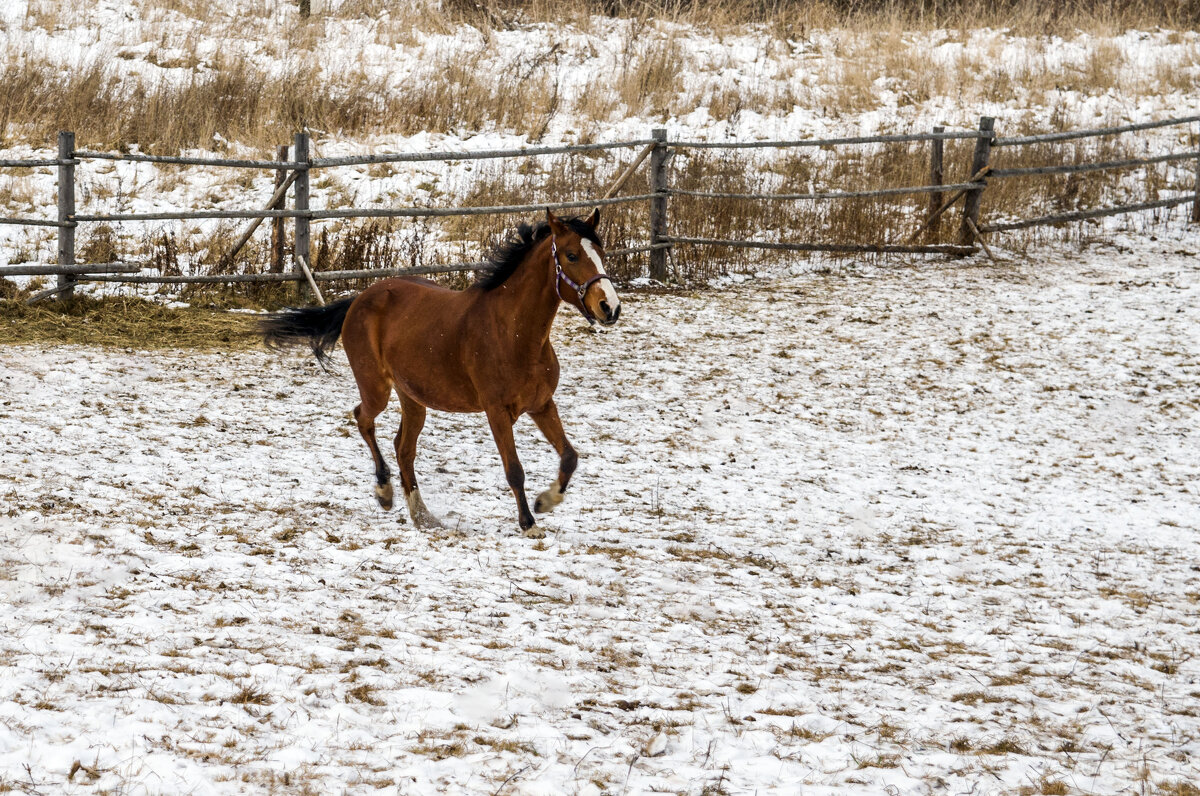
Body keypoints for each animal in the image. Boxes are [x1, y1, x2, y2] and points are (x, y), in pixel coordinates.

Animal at [260, 208, 619, 537]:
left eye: (601, 254)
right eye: (572, 255)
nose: (610, 308)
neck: (514, 333)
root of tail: (360, 298)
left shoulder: (542, 404)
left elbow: (570, 456)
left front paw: (545, 501)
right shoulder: (496, 411)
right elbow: (514, 469)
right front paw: (529, 523)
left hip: (413, 397)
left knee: (403, 448)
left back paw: (422, 515)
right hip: (376, 388)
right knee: (363, 418)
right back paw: (384, 492)